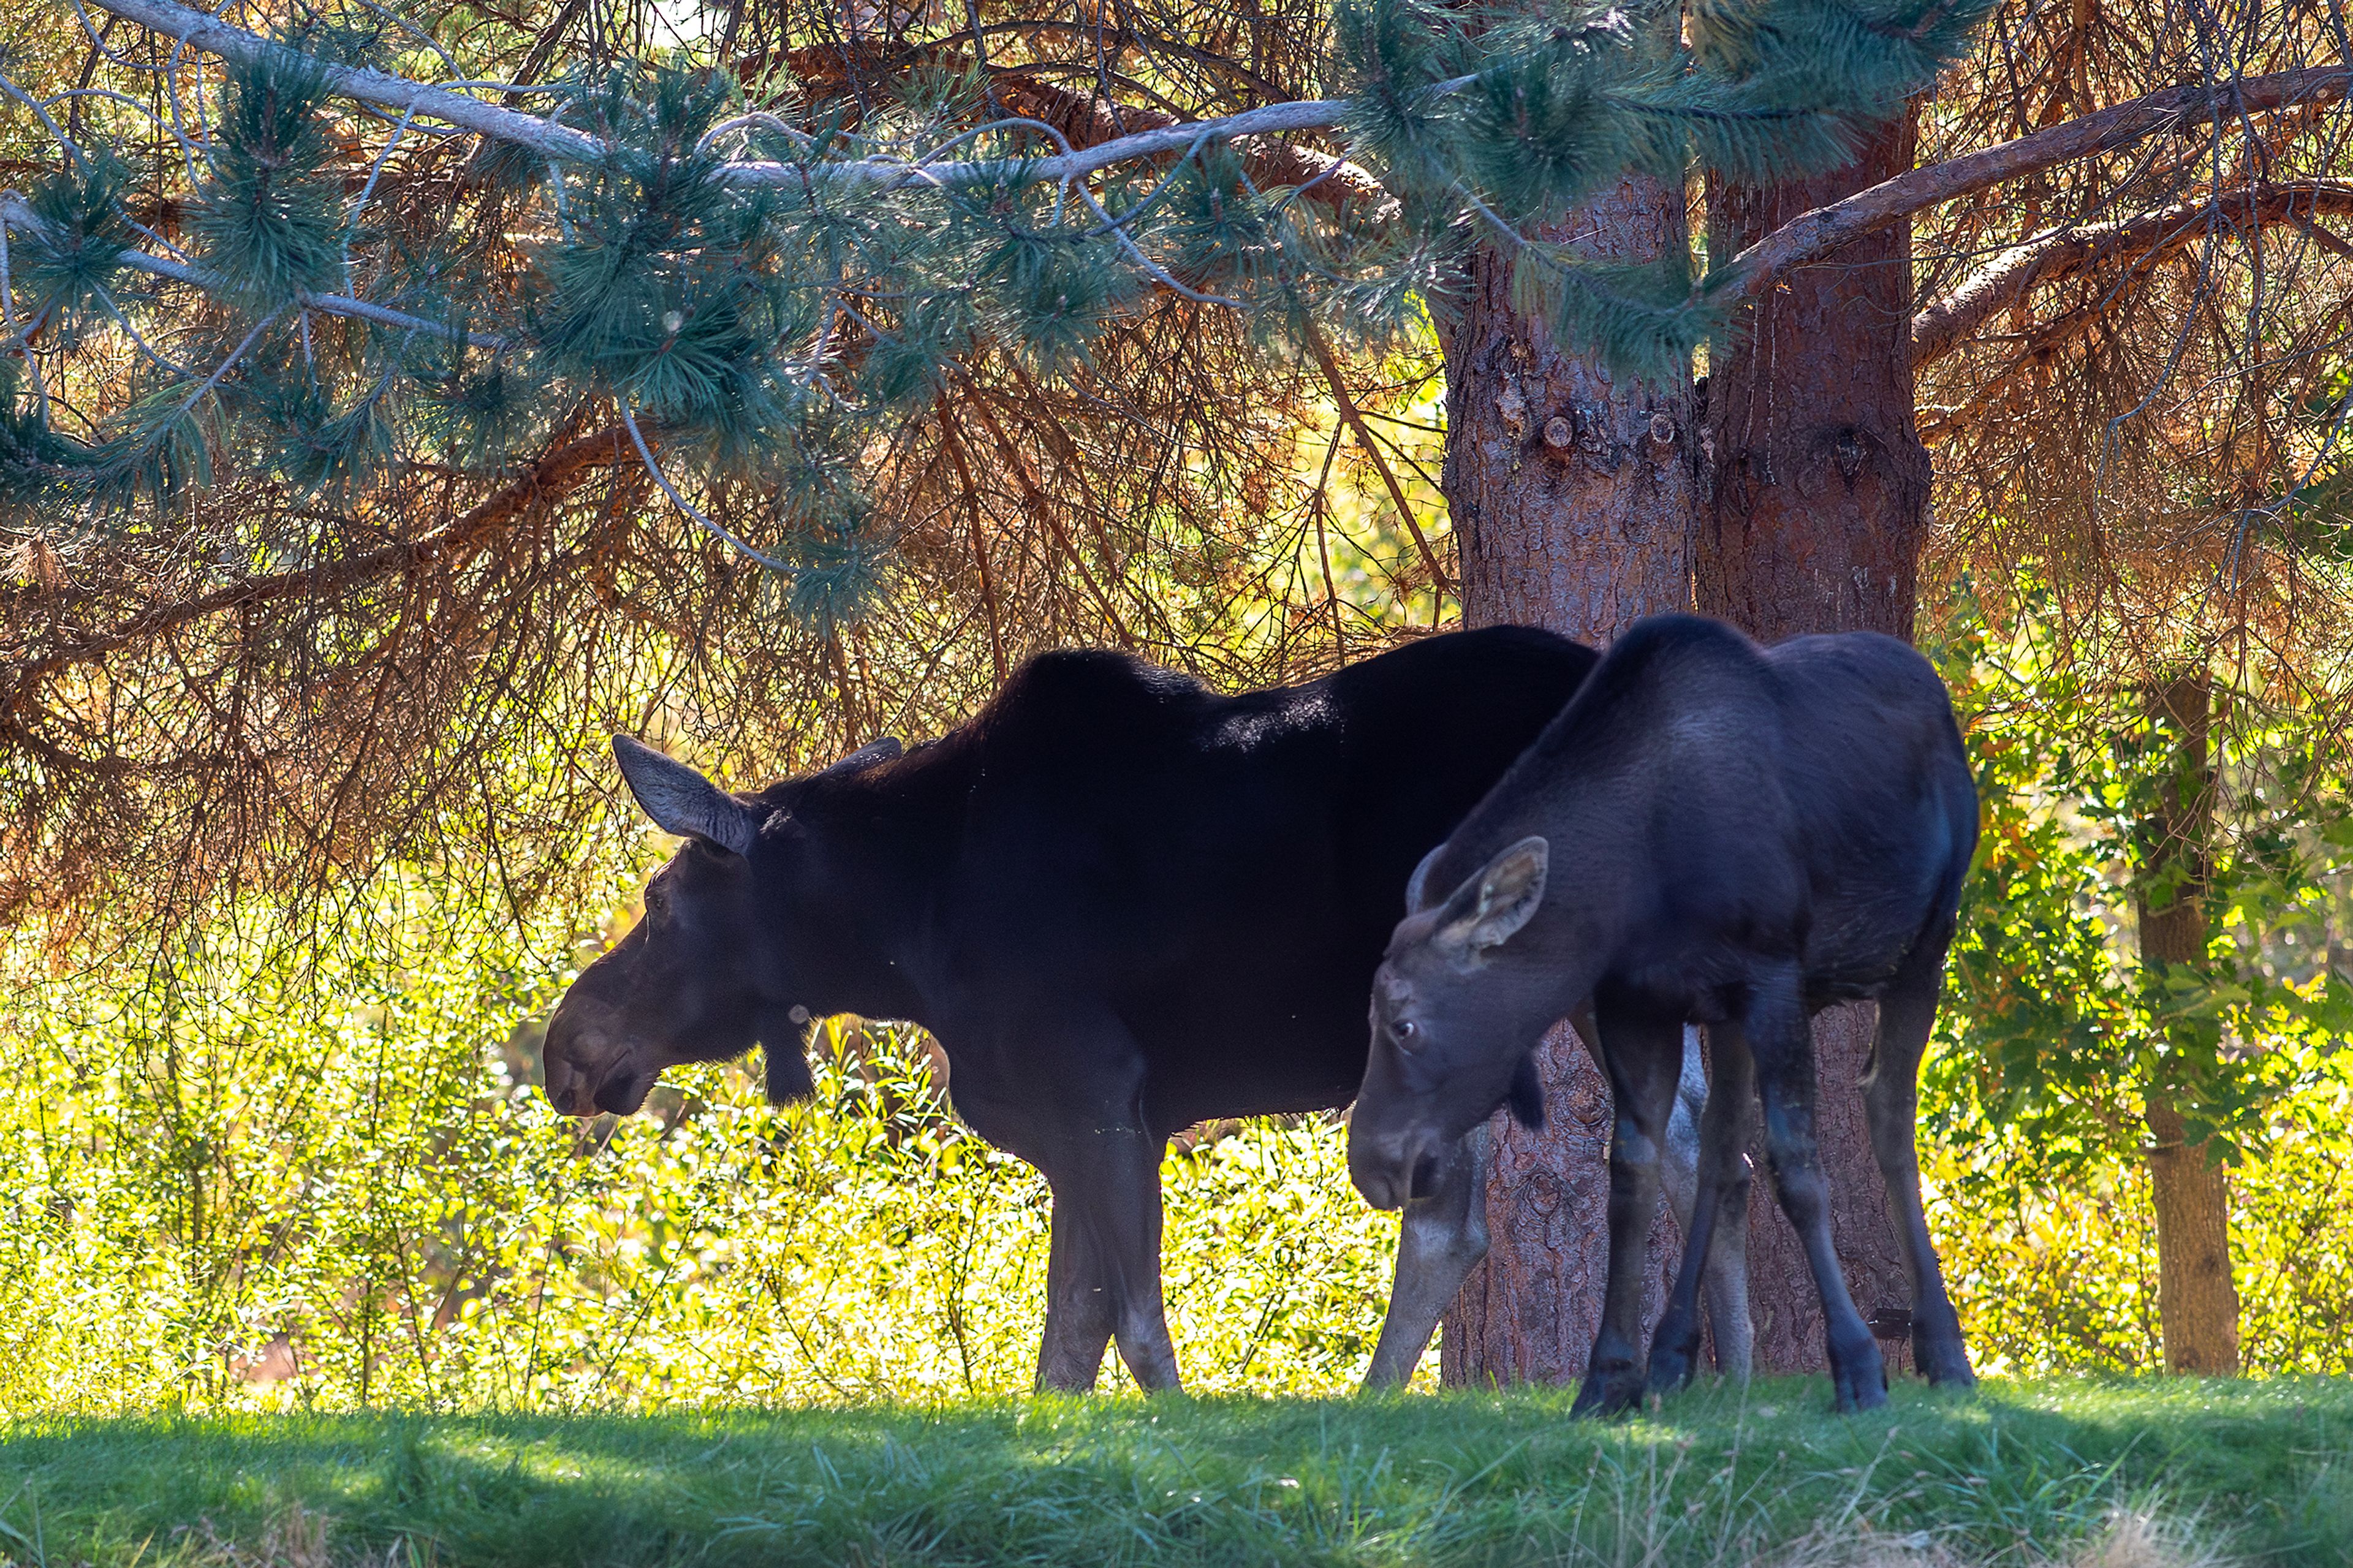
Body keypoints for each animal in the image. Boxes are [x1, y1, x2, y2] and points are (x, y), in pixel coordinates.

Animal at [539, 631, 1750, 1384]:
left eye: (659, 901)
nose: (567, 1044)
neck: (903, 927)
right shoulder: (1081, 1124)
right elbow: (1067, 1344)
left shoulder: (1100, 1095)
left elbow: (1131, 1329)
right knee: (1708, 1148)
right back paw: (1737, 1391)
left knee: (1459, 1221)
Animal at [1355, 616, 1976, 1412]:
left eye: (1403, 1022)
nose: (1370, 1162)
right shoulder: (1638, 1003)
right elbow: (1633, 1174)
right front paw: (1609, 1377)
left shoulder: (1775, 978)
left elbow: (1800, 1168)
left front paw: (1859, 1368)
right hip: (1726, 1014)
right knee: (1719, 1150)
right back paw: (1677, 1351)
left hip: (1923, 949)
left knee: (1888, 1118)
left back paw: (1943, 1347)